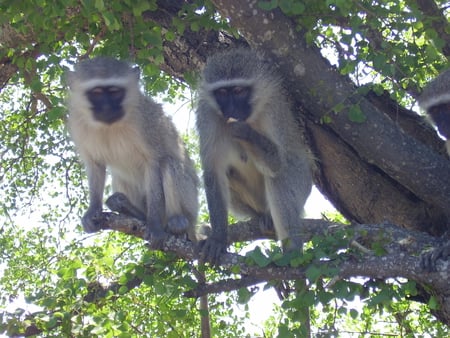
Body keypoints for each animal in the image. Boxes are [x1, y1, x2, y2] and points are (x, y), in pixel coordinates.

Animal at [66, 56, 199, 248]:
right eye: (96, 92)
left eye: (115, 92)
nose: (107, 108)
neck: (110, 126)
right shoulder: (77, 124)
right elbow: (95, 164)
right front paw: (92, 211)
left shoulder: (147, 124)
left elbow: (153, 163)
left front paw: (154, 226)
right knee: (120, 176)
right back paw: (130, 209)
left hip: (191, 204)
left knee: (169, 163)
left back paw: (178, 223)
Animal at [195, 48, 312, 264]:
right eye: (222, 93)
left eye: (239, 91)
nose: (231, 110)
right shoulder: (207, 114)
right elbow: (213, 172)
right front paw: (218, 238)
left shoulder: (274, 111)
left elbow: (277, 163)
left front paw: (245, 132)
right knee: (228, 174)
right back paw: (260, 217)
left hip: (303, 184)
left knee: (280, 179)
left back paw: (292, 253)